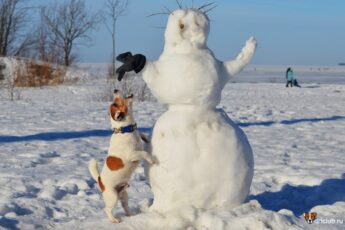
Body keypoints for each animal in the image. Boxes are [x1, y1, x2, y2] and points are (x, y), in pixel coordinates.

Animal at [88, 90, 155, 223]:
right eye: (116, 103)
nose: (115, 90)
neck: (126, 129)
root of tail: (100, 180)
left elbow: (142, 135)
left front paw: (145, 138)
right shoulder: (132, 154)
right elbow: (144, 153)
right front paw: (152, 159)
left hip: (124, 196)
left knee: (125, 207)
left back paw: (131, 215)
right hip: (112, 197)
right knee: (107, 209)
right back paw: (114, 220)